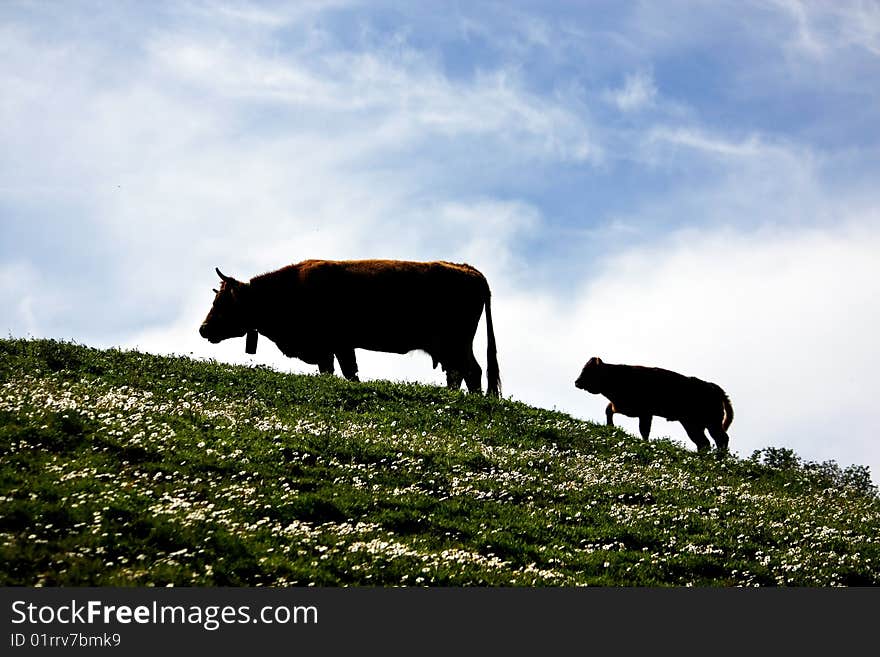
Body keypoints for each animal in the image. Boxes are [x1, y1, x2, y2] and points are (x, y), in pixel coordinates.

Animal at [201, 260, 502, 394]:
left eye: (223, 302)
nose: (203, 329)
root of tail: (469, 270)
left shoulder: (333, 345)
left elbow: (345, 372)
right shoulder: (338, 348)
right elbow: (343, 371)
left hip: (457, 344)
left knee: (472, 372)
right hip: (450, 348)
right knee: (457, 374)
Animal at [576, 356, 732, 454]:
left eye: (589, 371)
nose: (576, 382)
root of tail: (714, 387)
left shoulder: (645, 414)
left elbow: (644, 431)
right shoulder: (622, 407)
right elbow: (608, 410)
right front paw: (611, 426)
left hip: (711, 424)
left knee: (720, 439)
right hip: (693, 425)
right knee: (703, 442)